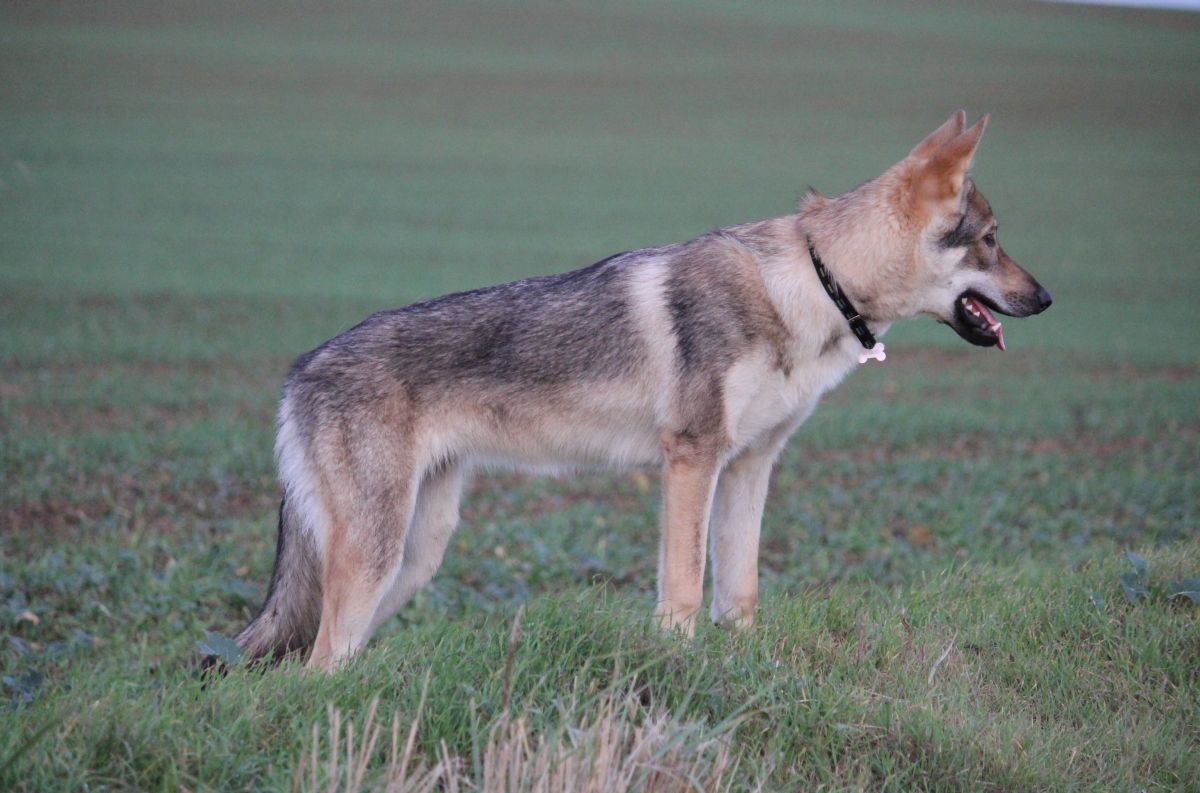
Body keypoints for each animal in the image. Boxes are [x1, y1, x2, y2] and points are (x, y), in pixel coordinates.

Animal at [226, 111, 1051, 667]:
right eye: (992, 239)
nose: (1046, 298)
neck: (814, 282)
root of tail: (300, 366)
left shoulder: (750, 466)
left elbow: (740, 591)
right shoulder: (692, 459)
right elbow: (683, 587)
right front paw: (679, 663)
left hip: (415, 555)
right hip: (377, 554)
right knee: (315, 664)